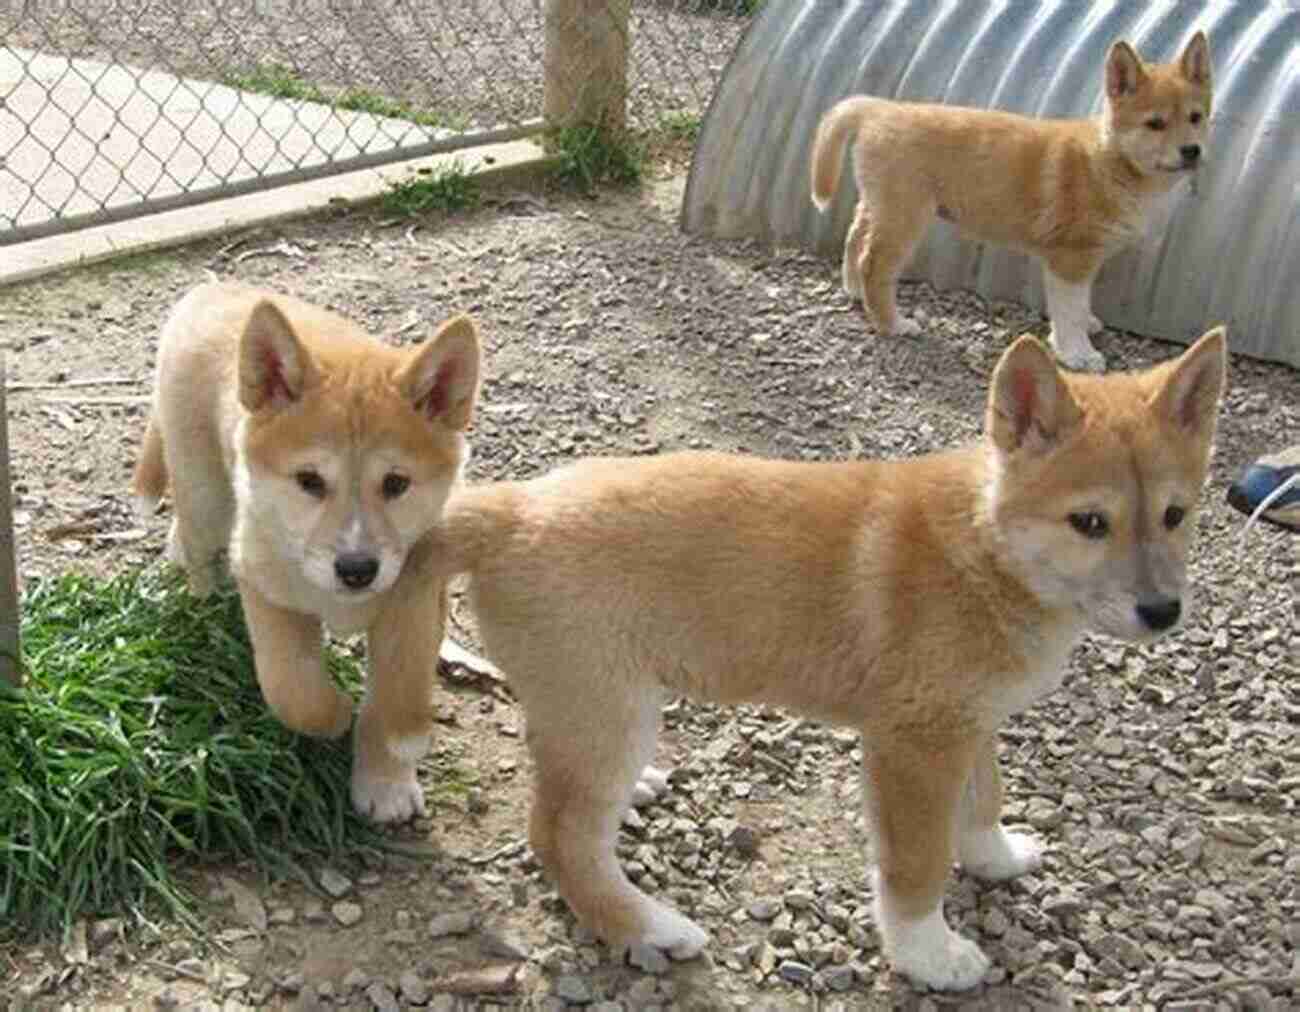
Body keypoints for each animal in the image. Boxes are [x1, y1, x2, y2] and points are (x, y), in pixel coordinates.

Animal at [133, 282, 483, 822]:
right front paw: (337, 713)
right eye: (309, 481)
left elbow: (394, 696)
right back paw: (206, 607)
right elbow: (293, 691)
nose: (358, 570)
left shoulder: (415, 604)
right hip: (203, 491)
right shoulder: (267, 591)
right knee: (200, 550)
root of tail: (215, 287)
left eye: (396, 484)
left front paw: (386, 779)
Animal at [806, 35, 1211, 377]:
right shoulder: (1070, 259)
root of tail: (881, 110)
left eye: (1196, 117)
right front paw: (1077, 353)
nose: (1192, 151)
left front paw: (1084, 327)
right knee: (874, 264)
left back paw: (854, 290)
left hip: (881, 205)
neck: (1110, 160)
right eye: (1155, 123)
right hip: (905, 217)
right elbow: (1067, 311)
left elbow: (1078, 305)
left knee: (855, 237)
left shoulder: (1083, 260)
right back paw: (892, 323)